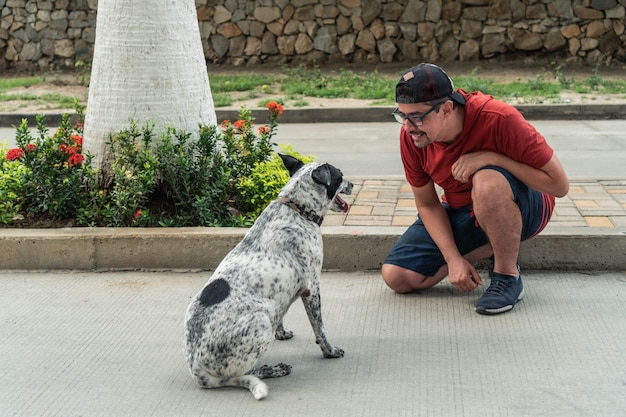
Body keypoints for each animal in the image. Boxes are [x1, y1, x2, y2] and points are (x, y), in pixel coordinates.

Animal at [183, 154, 354, 400]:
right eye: (340, 175)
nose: (353, 185)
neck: (298, 209)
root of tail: (197, 372)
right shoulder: (312, 289)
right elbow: (320, 329)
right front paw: (329, 351)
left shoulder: (283, 294)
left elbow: (282, 315)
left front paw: (281, 333)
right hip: (260, 322)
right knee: (246, 371)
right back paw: (273, 369)